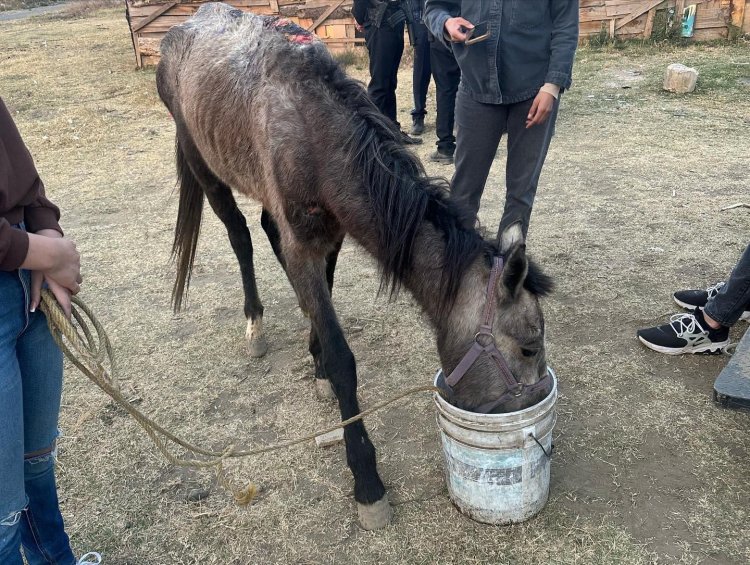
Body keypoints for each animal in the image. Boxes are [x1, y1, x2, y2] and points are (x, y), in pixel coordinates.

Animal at [156, 2, 556, 528]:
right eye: (529, 348)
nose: (535, 410)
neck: (315, 133)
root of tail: (179, 31)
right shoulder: (305, 242)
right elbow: (344, 358)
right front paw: (366, 480)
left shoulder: (331, 235)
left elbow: (321, 296)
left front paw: (316, 355)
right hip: (206, 169)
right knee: (240, 236)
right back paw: (255, 325)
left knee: (265, 230)